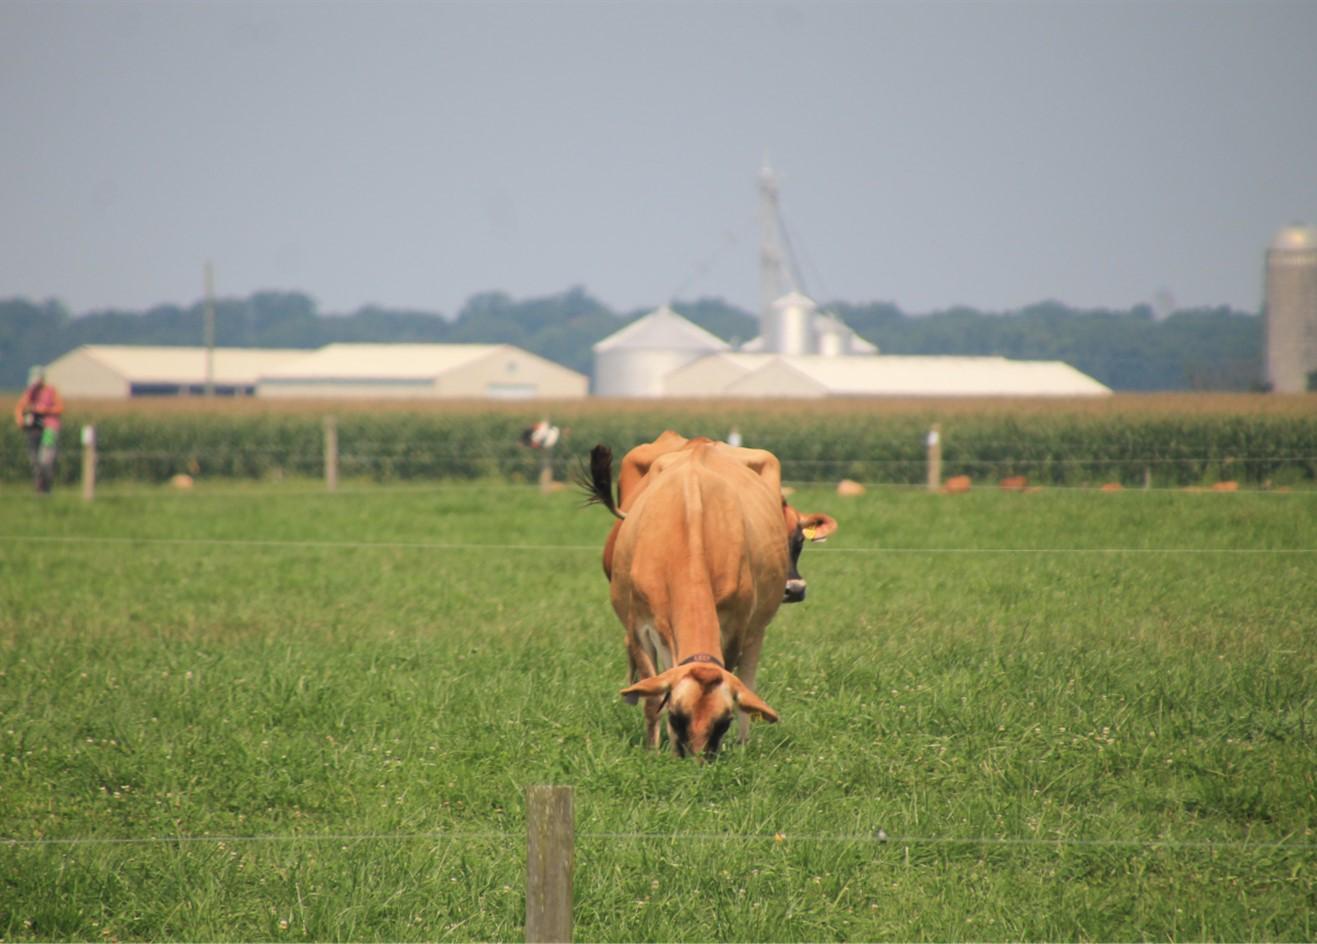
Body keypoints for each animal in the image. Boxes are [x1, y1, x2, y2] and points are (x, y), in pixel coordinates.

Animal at [584, 431, 832, 753]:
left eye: (722, 722)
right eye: (678, 717)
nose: (697, 759)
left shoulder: (735, 626)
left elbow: (735, 679)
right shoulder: (639, 626)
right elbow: (654, 693)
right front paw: (652, 749)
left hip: (756, 625)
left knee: (749, 676)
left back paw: (743, 742)